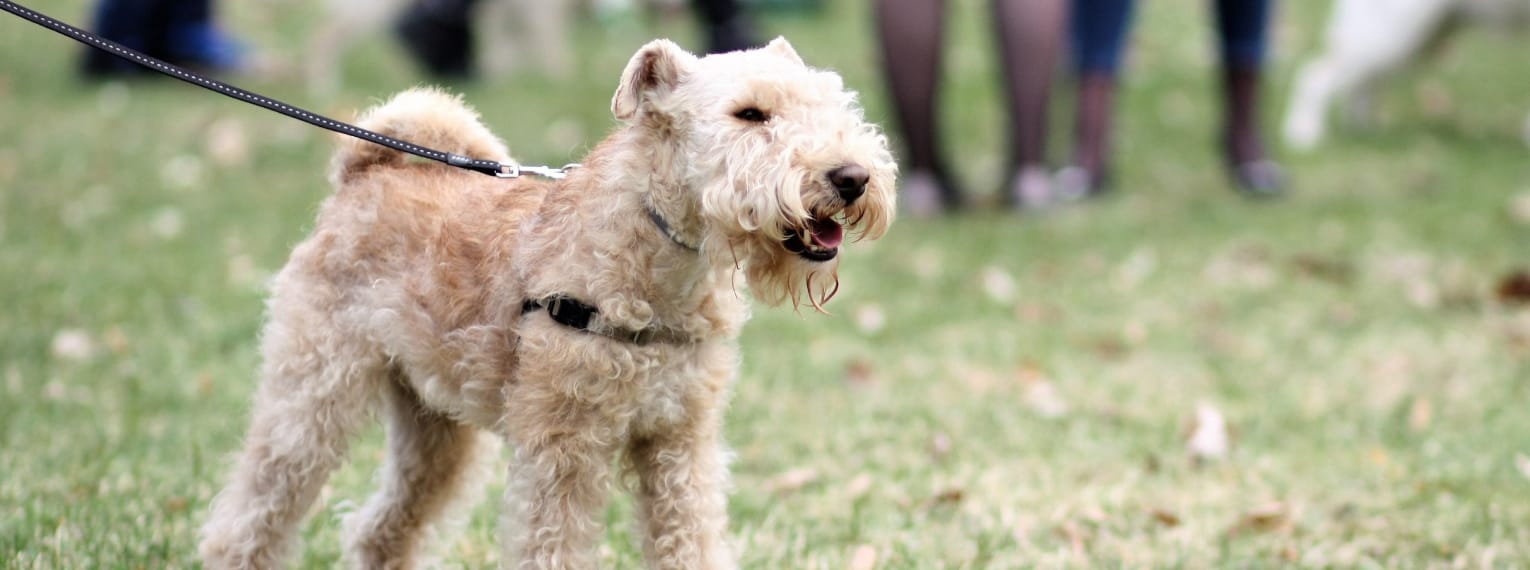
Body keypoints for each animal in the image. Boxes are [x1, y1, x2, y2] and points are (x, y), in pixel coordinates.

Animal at [200, 37, 893, 565]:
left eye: (831, 102)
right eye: (749, 114)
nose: (851, 178)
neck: (652, 260)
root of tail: (366, 172)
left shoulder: (679, 444)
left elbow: (689, 540)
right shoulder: (563, 453)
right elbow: (551, 545)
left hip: (435, 432)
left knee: (381, 531)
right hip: (312, 396)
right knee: (250, 518)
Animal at [1285, 0, 1523, 149]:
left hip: (1420, 36)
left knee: (1362, 84)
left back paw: (1363, 129)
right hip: (1396, 33)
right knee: (1315, 75)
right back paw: (1304, 133)